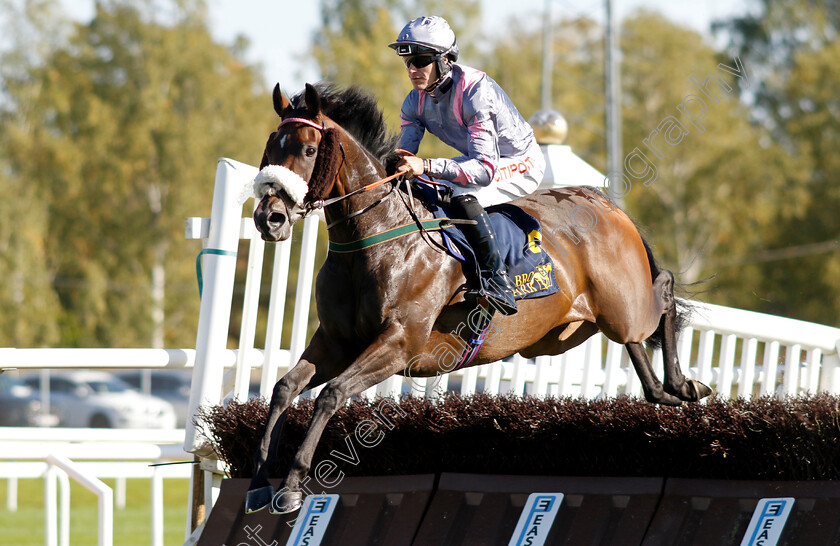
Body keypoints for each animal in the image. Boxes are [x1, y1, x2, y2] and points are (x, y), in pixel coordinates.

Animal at [246, 83, 712, 512]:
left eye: (309, 149)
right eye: (269, 146)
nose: (269, 218)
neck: (378, 239)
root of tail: (602, 202)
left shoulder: (399, 344)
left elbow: (331, 394)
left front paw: (292, 484)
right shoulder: (336, 342)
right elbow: (284, 388)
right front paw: (259, 481)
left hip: (623, 306)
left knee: (664, 288)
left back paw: (685, 383)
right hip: (590, 325)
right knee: (639, 346)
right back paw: (667, 391)